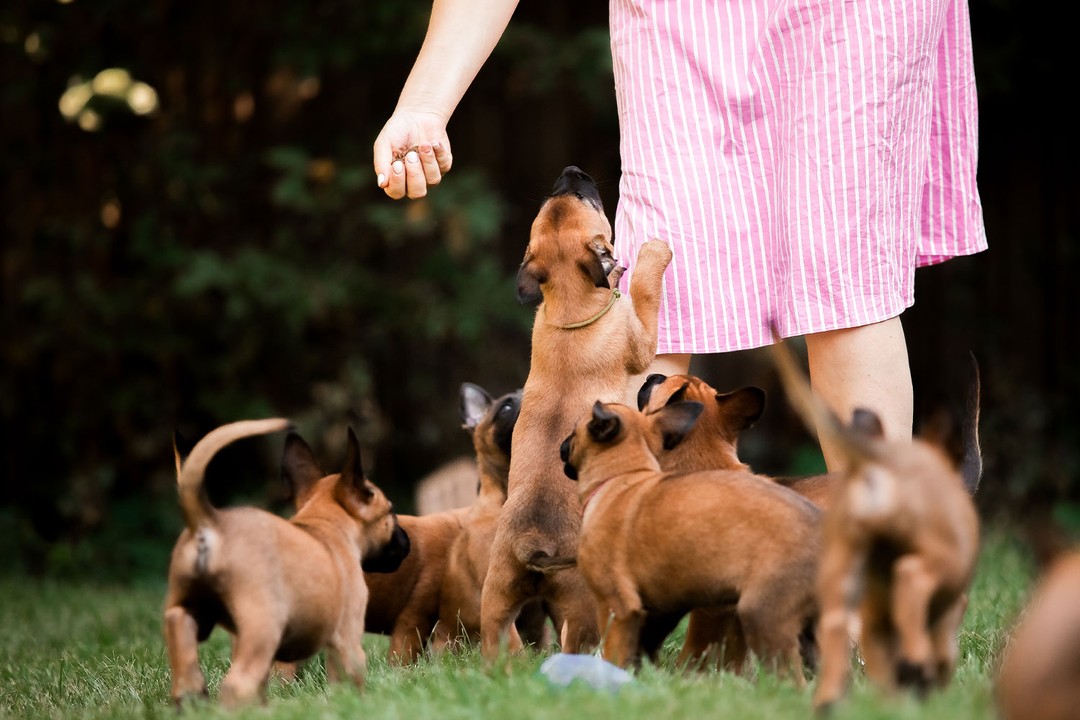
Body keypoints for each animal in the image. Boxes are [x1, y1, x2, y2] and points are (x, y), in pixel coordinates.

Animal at [164, 418, 406, 708]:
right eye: (391, 512)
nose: (407, 541)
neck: (326, 526)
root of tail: (209, 520)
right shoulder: (347, 635)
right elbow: (349, 677)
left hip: (188, 611)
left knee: (182, 645)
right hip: (263, 627)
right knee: (239, 683)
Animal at [477, 166, 669, 660]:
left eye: (560, 197)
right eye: (588, 200)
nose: (571, 172)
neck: (568, 305)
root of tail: (532, 542)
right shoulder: (642, 341)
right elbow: (644, 290)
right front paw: (652, 253)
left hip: (496, 603)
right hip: (580, 606)